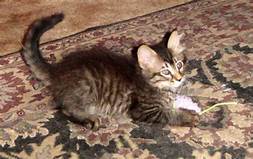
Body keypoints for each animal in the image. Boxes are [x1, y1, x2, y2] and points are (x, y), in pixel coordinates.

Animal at [21, 13, 199, 130]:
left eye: (179, 65)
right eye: (165, 72)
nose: (179, 78)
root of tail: (57, 69)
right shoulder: (143, 111)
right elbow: (169, 115)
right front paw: (189, 117)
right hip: (86, 89)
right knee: (65, 108)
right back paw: (88, 120)